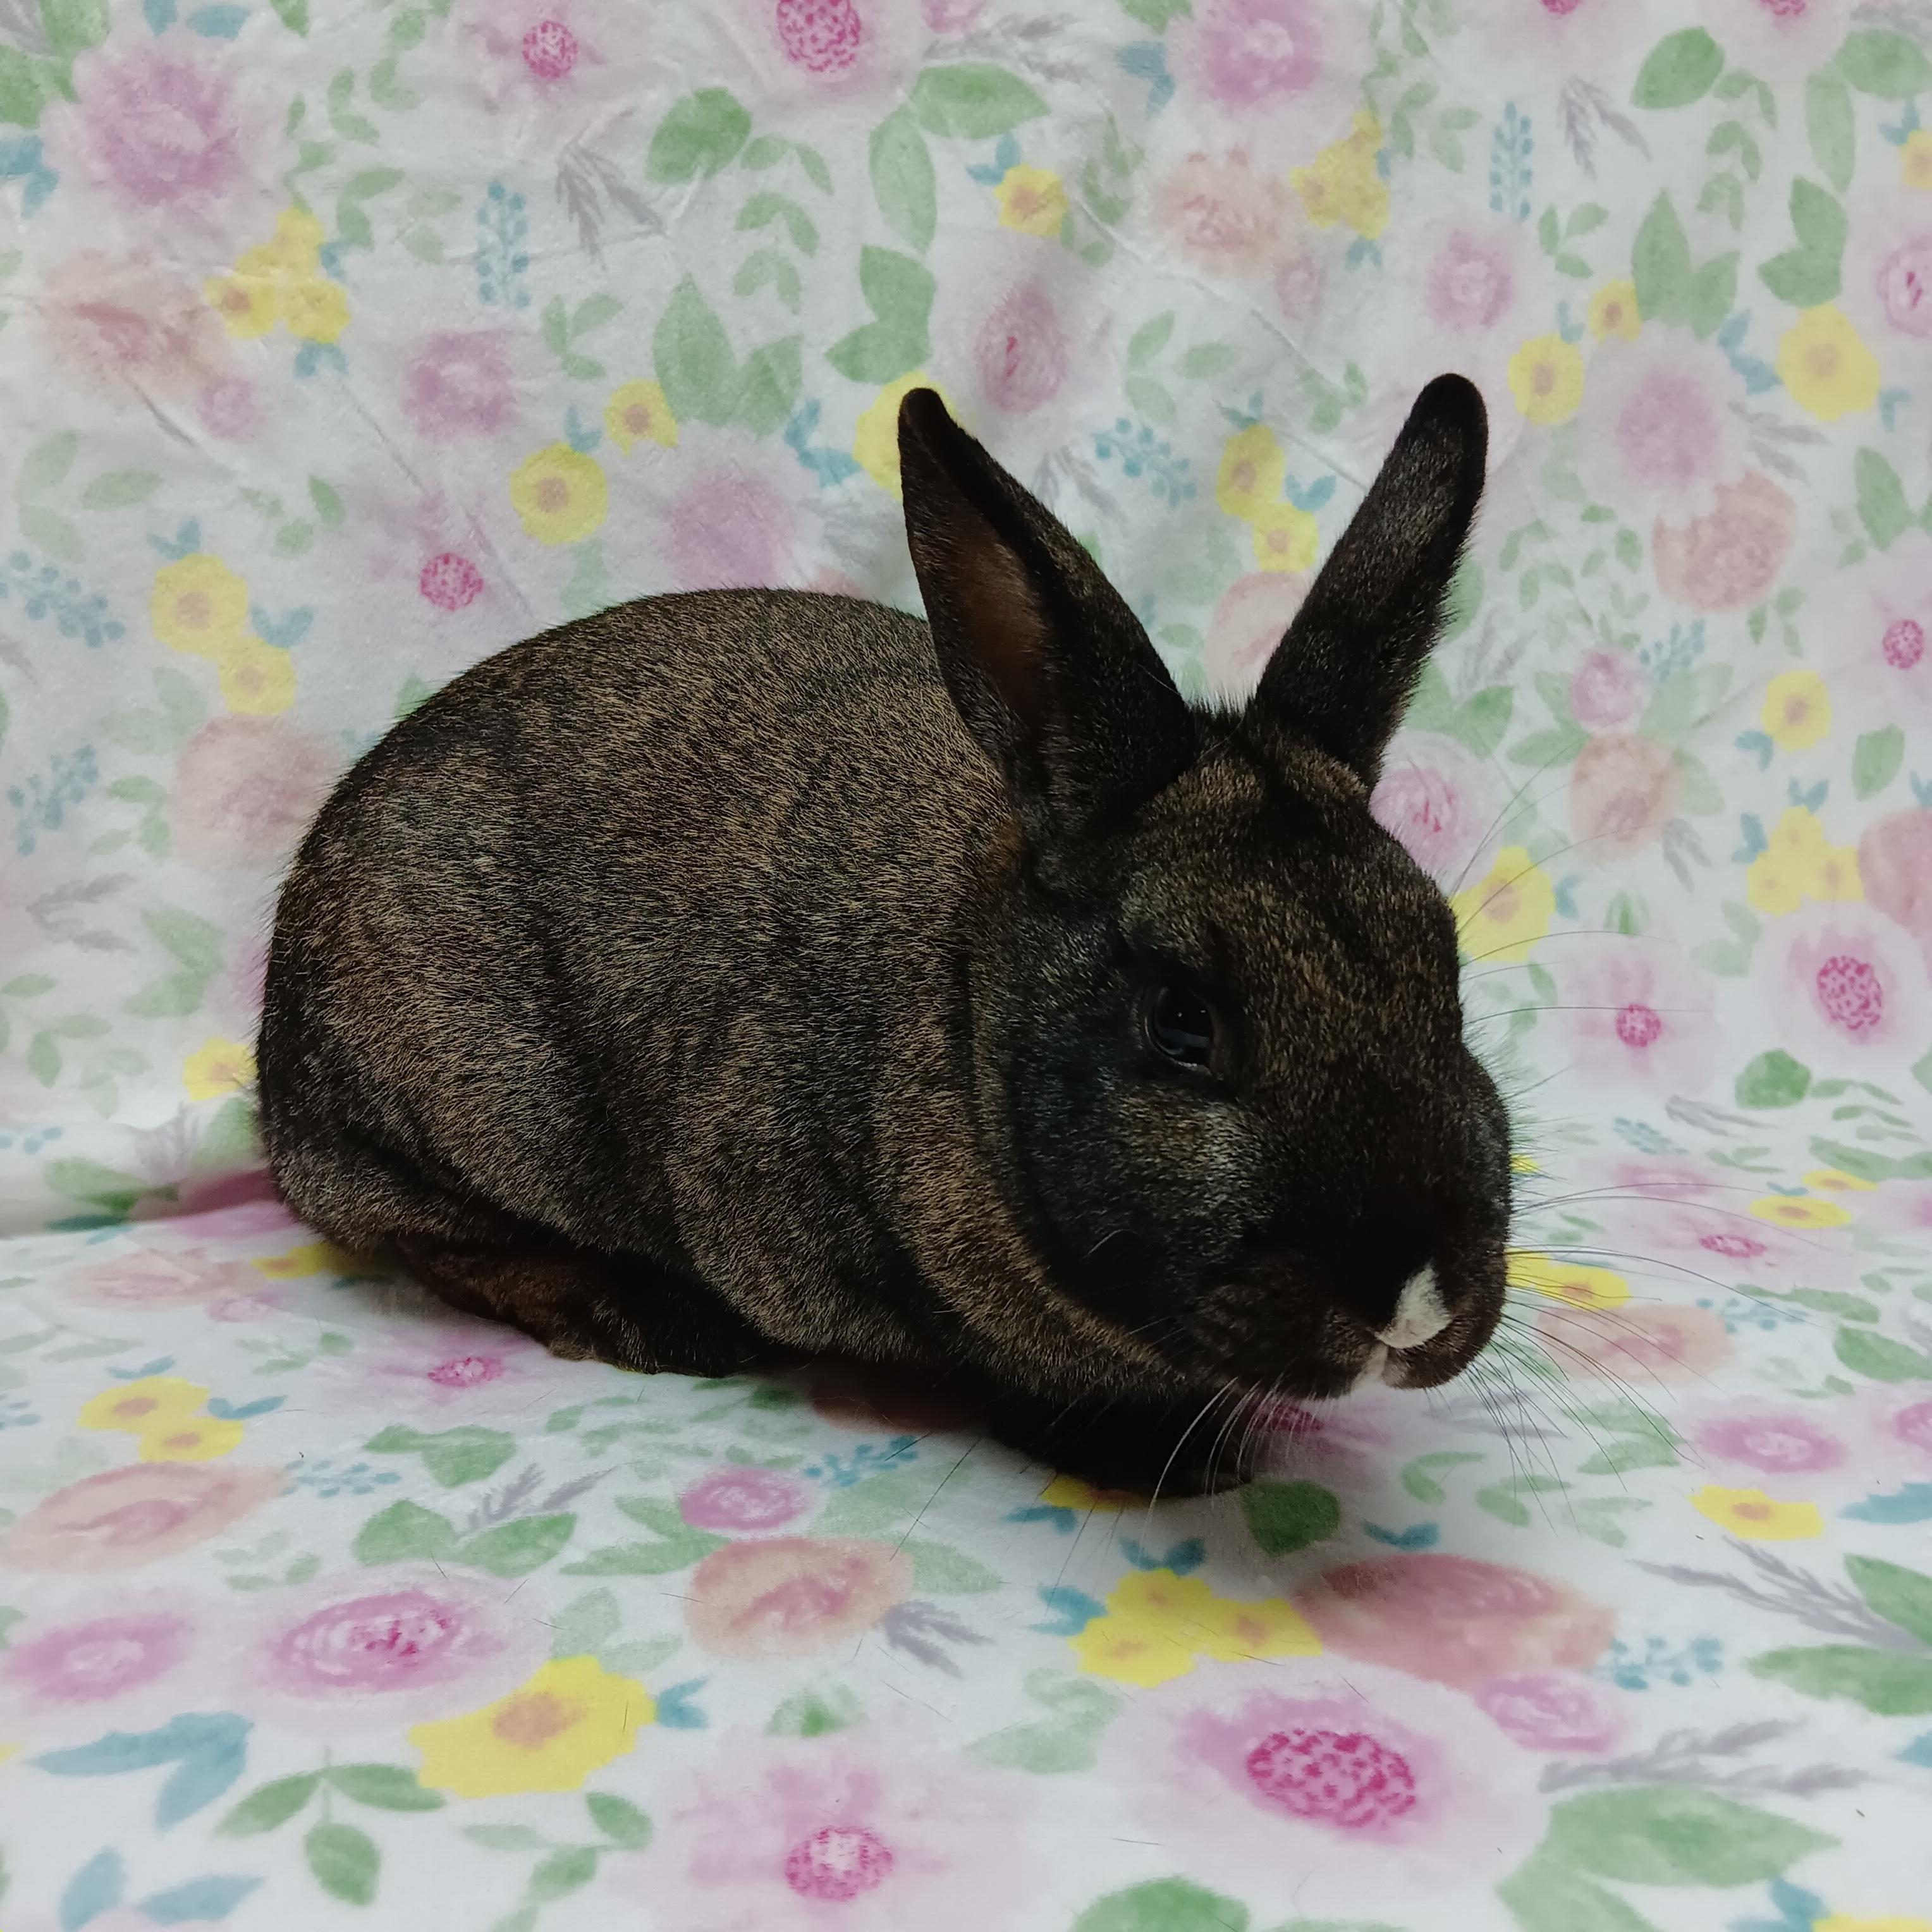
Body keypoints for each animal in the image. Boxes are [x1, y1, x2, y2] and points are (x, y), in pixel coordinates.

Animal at [256, 374, 1511, 1497]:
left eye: (1442, 969)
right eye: (1182, 1023)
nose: (1417, 1307)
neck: (967, 1020)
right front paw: (1166, 1461)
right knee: (434, 1241)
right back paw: (646, 1317)